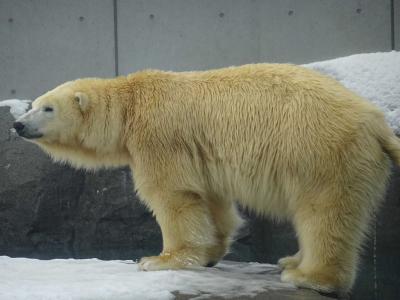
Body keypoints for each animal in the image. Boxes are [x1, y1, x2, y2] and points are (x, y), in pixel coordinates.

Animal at [12, 64, 400, 294]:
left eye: (47, 107)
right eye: (33, 104)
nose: (17, 124)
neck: (131, 105)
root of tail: (377, 122)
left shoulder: (158, 137)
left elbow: (172, 195)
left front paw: (160, 260)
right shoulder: (199, 154)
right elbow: (212, 201)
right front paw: (212, 252)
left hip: (321, 151)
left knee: (323, 212)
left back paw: (309, 276)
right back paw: (291, 260)